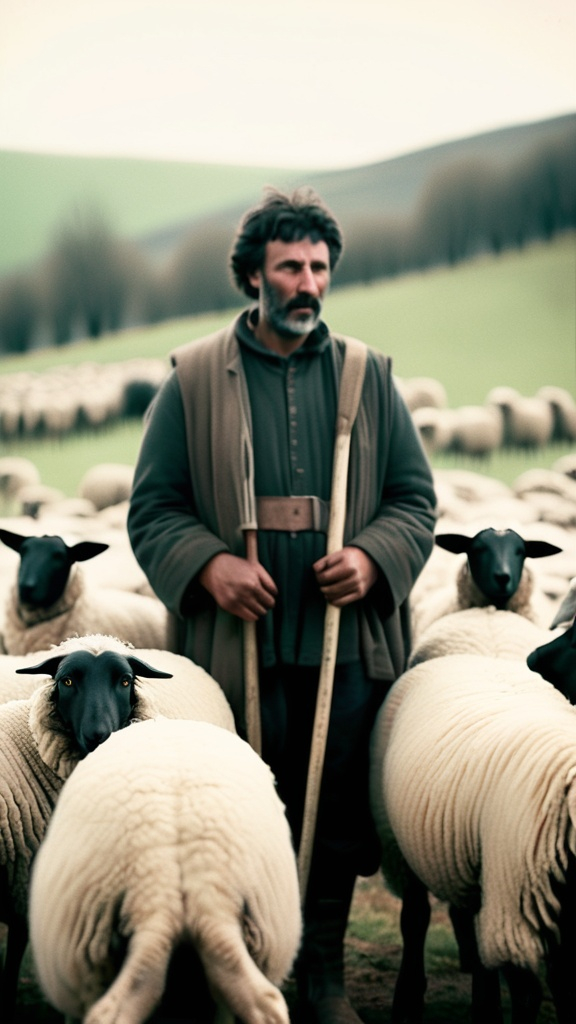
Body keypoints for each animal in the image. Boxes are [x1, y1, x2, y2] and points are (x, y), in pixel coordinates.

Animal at [366, 655, 573, 1024]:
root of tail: (463, 655)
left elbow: (563, 986)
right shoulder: (515, 909)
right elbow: (527, 993)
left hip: (472, 861)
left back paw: (483, 1007)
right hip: (398, 843)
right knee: (415, 918)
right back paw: (408, 1001)